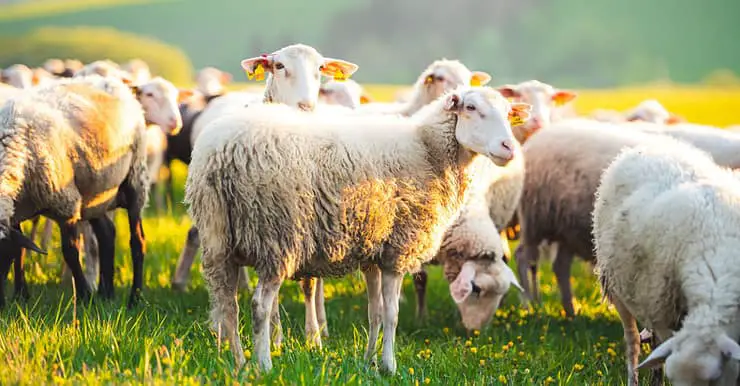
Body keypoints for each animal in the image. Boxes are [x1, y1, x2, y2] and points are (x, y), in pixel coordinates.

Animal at [0, 75, 159, 308]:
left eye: (0, 256)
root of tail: (113, 81)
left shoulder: (65, 205)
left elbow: (71, 252)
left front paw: (84, 296)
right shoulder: (16, 212)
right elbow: (20, 249)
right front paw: (21, 296)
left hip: (135, 179)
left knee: (138, 241)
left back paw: (134, 298)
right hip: (95, 195)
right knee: (107, 233)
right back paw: (106, 294)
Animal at [184, 86, 520, 372]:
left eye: (508, 112)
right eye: (471, 107)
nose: (509, 148)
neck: (428, 152)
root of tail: (220, 152)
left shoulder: (373, 251)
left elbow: (375, 313)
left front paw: (369, 361)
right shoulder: (398, 250)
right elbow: (392, 314)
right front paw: (389, 366)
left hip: (218, 237)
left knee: (227, 304)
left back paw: (238, 363)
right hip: (276, 235)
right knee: (258, 306)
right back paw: (263, 365)